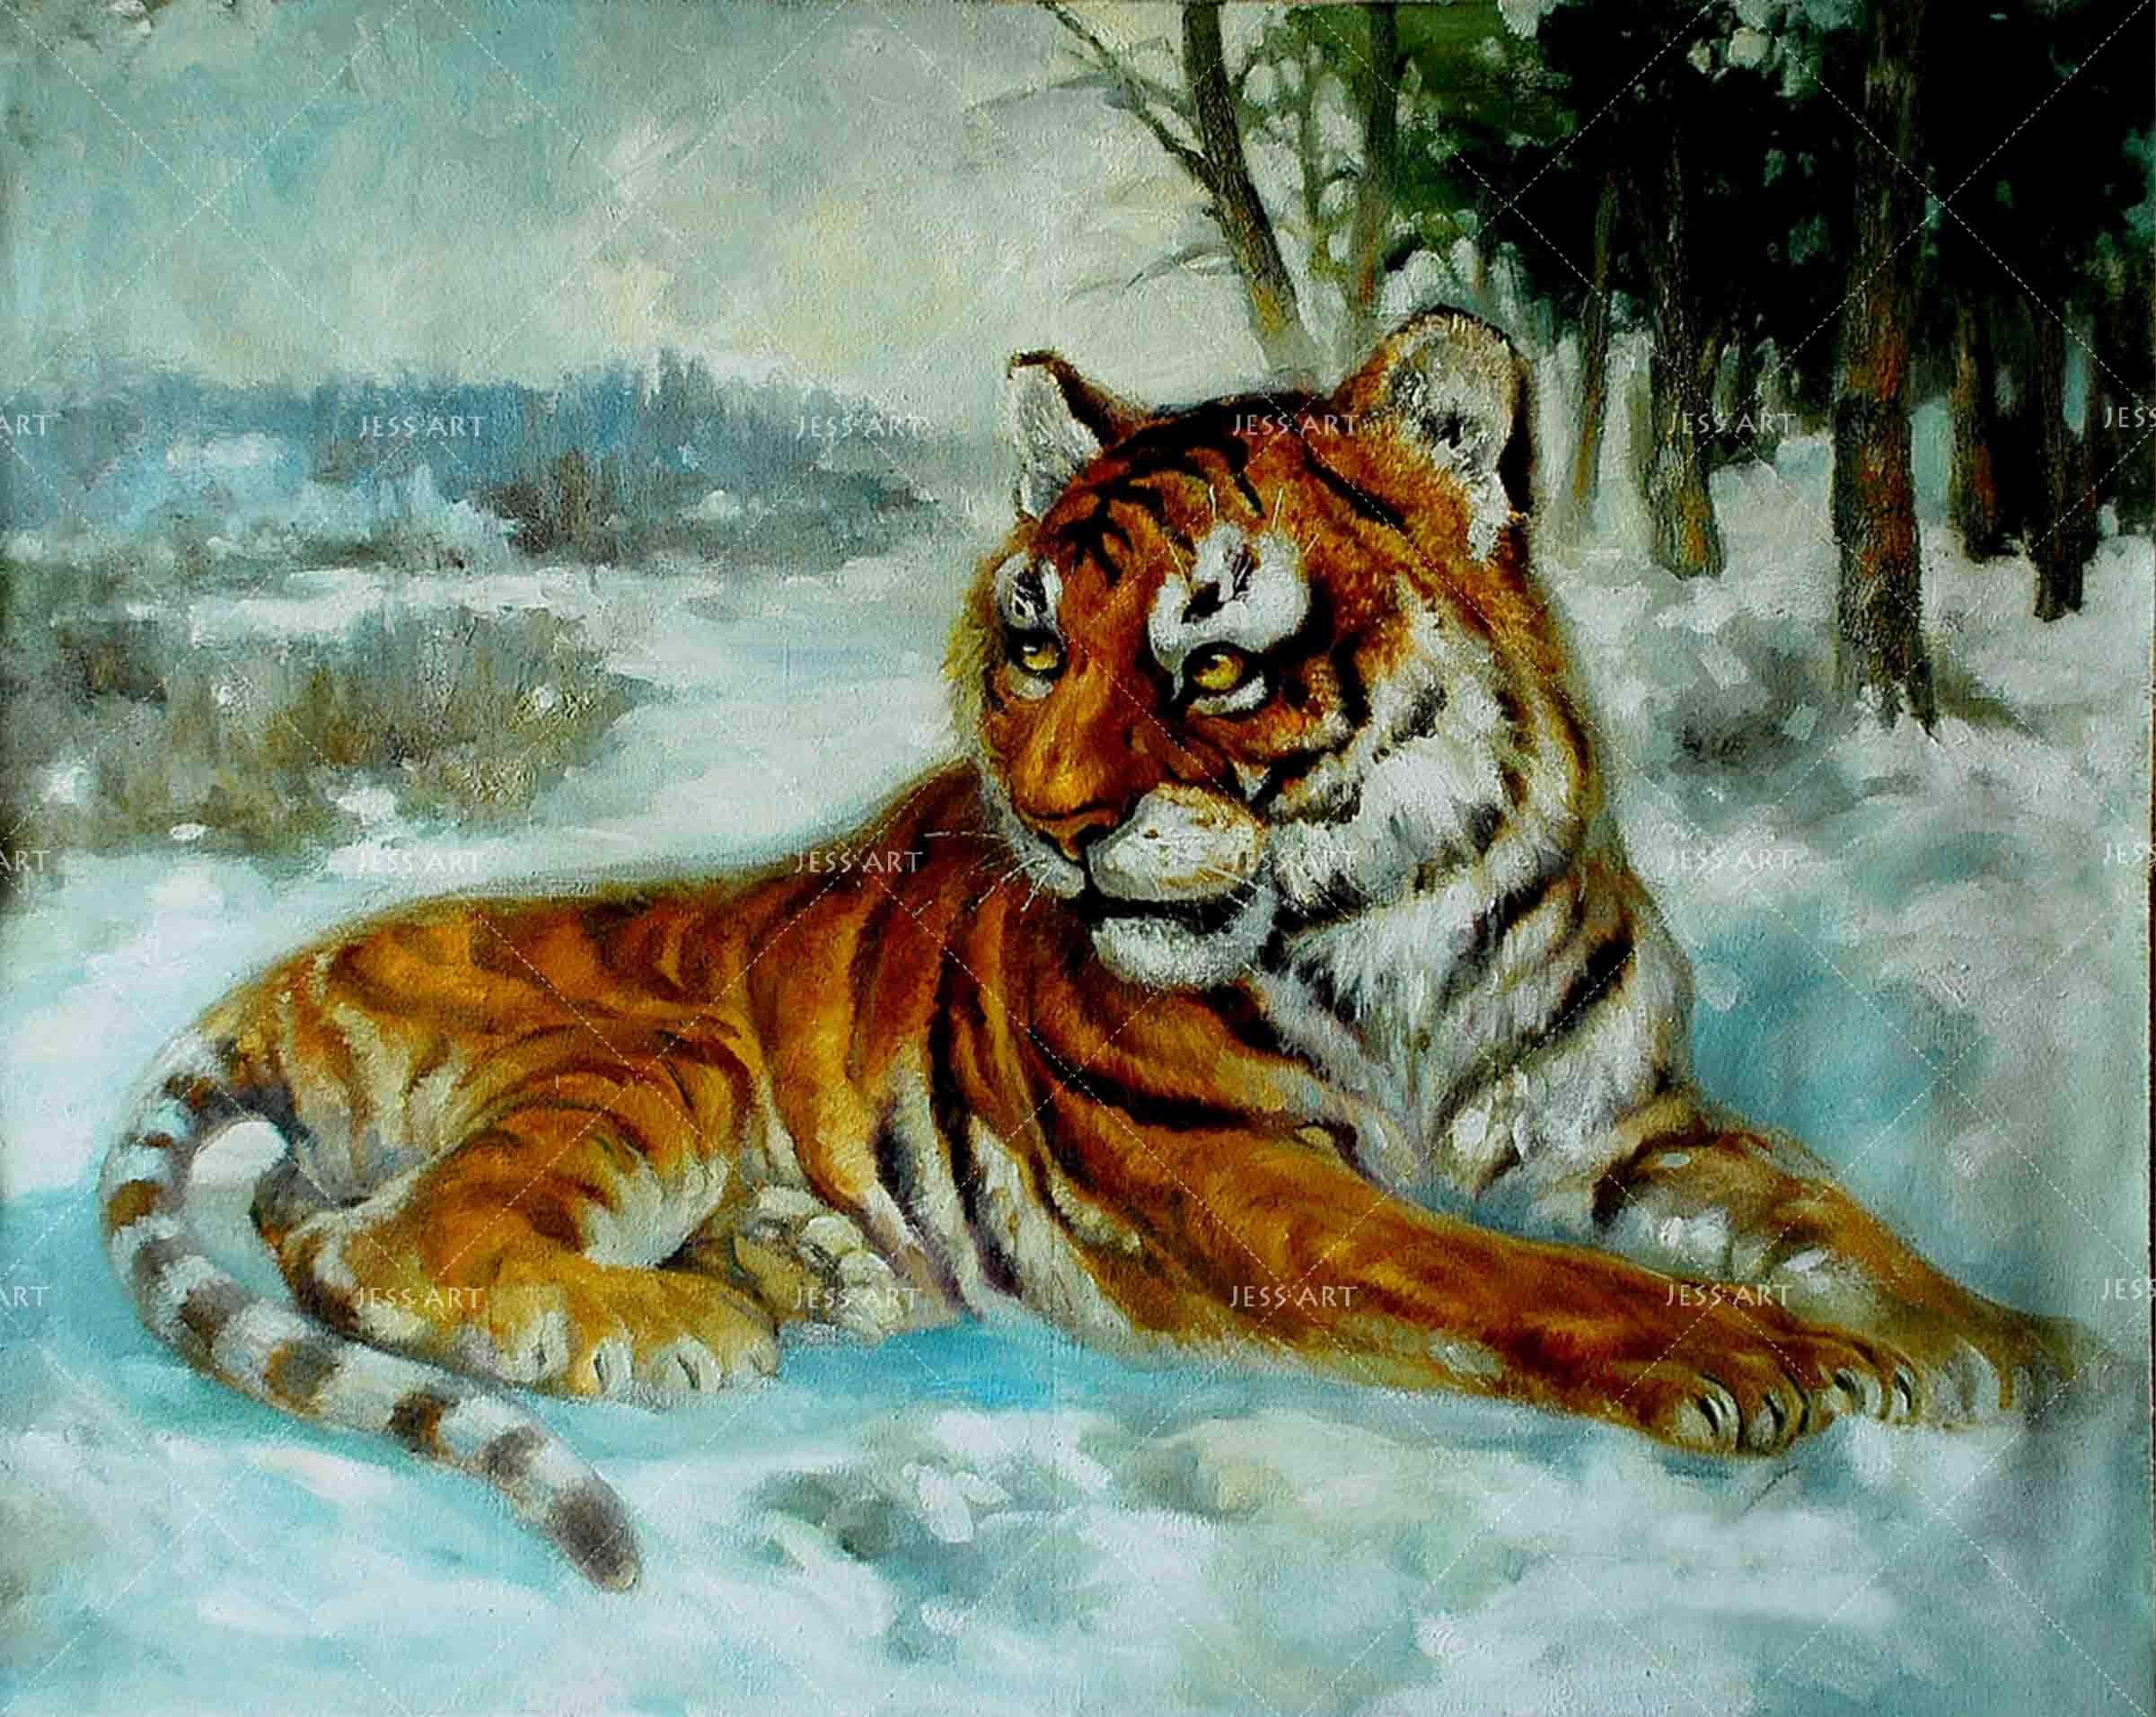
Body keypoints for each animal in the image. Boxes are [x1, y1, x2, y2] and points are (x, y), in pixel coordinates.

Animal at [101, 309, 2099, 1591]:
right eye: (1037, 642)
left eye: (1214, 659)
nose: (1051, 824)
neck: (1411, 930)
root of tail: (272, 979)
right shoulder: (1269, 1190)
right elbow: (1517, 1278)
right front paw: (1771, 1362)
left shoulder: (1623, 1124)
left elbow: (1828, 1211)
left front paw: (2006, 1343)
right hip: (656, 1063)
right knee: (378, 1244)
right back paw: (671, 1321)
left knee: (321, 1229)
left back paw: (809, 1267)